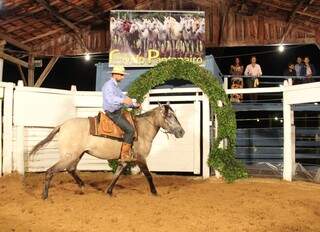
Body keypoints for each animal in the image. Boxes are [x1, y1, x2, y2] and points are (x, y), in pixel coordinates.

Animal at [30, 104, 186, 198]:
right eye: (170, 116)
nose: (181, 132)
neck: (141, 130)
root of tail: (62, 125)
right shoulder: (140, 158)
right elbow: (148, 175)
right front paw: (154, 192)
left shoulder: (125, 160)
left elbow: (118, 173)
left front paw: (109, 191)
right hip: (70, 155)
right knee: (51, 171)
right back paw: (45, 196)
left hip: (77, 154)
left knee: (71, 169)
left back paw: (82, 186)